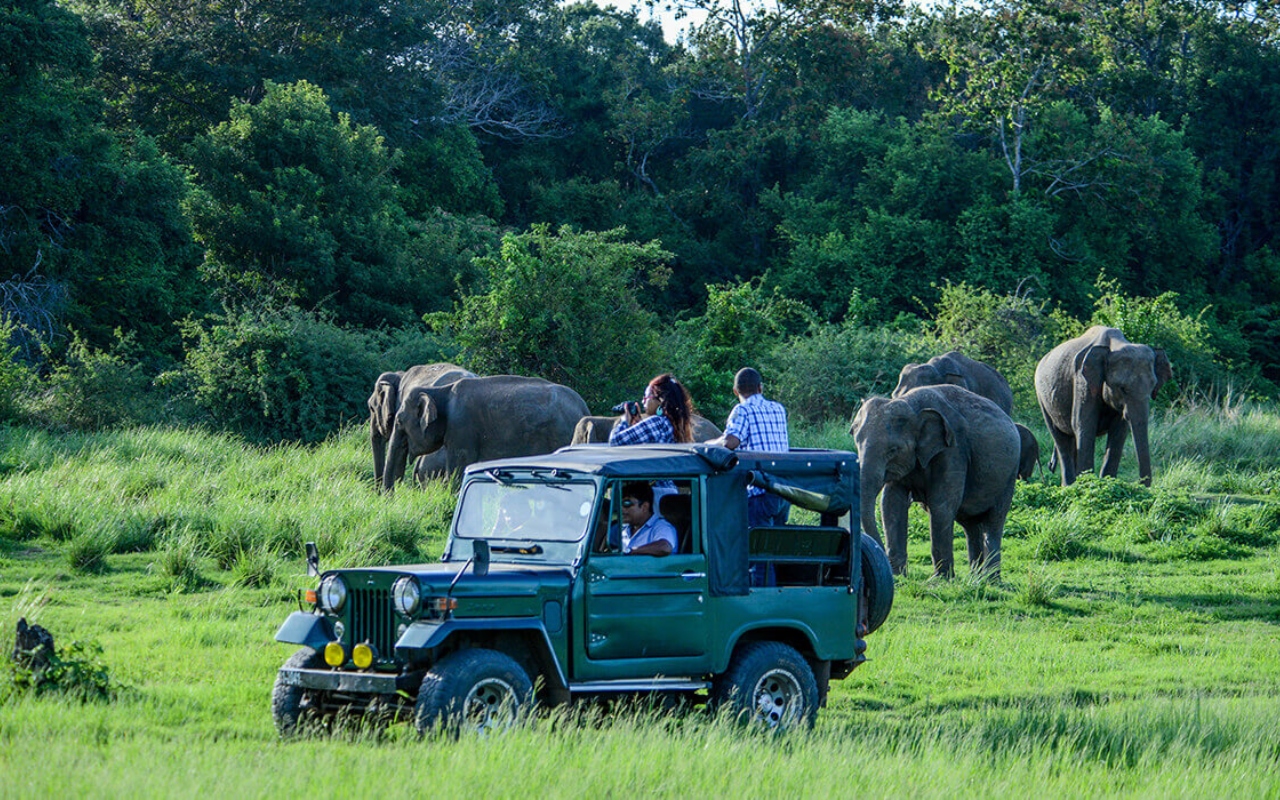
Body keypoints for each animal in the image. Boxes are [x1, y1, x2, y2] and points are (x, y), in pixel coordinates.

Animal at [381, 373, 586, 486]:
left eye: (399, 421)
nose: (391, 498)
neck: (440, 391)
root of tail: (583, 408)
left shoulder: (462, 428)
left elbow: (457, 471)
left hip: (560, 435)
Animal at [849, 384, 1018, 576]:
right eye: (856, 442)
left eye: (893, 450)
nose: (880, 553)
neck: (911, 404)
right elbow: (891, 503)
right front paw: (899, 576)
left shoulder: (953, 450)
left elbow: (941, 505)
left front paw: (941, 580)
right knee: (970, 524)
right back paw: (976, 578)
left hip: (1009, 475)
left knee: (994, 521)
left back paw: (989, 579)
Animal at [1034, 326, 1172, 486]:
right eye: (1122, 388)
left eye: (1152, 387)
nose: (1141, 484)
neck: (1115, 345)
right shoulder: (1084, 381)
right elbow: (1084, 425)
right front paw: (1088, 484)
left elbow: (1119, 431)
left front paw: (1107, 483)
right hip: (1042, 397)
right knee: (1060, 438)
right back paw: (1069, 485)